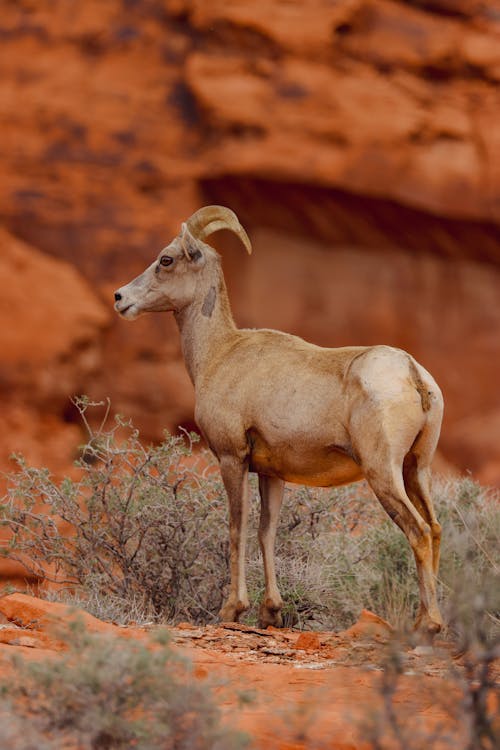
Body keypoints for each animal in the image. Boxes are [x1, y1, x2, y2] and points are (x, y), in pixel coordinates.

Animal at [115, 204, 444, 636]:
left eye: (165, 260)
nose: (120, 298)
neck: (218, 353)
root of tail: (412, 372)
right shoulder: (272, 474)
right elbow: (266, 532)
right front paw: (270, 612)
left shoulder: (232, 458)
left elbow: (236, 528)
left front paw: (232, 609)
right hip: (415, 469)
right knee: (435, 530)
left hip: (383, 473)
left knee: (418, 532)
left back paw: (427, 625)